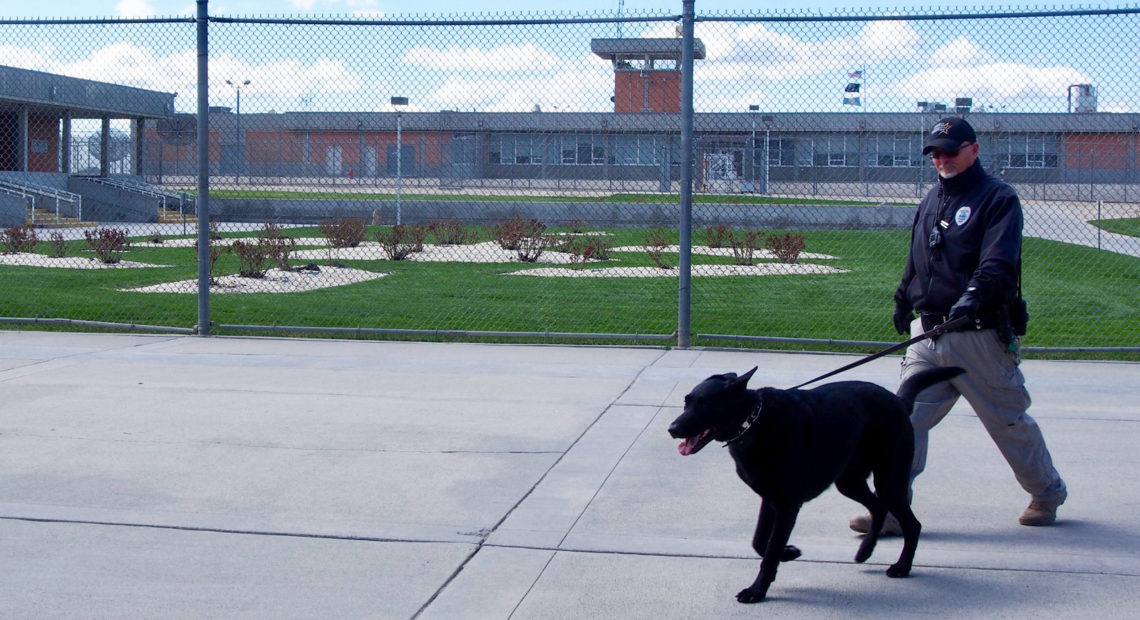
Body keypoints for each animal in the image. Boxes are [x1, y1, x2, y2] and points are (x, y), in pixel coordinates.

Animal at [665, 364, 962, 601]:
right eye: (686, 401)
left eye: (704, 404)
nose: (672, 429)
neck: (754, 422)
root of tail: (899, 401)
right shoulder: (770, 499)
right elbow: (760, 542)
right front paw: (789, 552)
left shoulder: (787, 505)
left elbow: (769, 550)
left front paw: (757, 590)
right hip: (849, 481)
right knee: (878, 508)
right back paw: (865, 551)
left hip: (889, 480)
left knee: (912, 524)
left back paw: (902, 567)